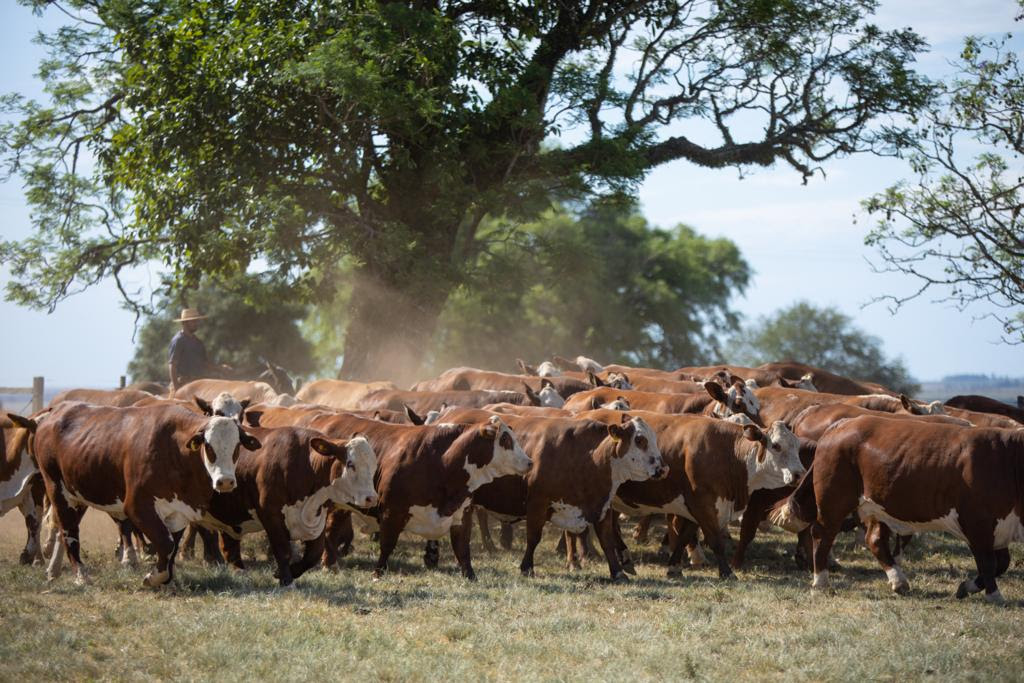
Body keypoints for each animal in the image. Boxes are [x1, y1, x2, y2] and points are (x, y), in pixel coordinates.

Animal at [34, 405, 262, 589]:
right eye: (208, 446)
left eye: (237, 446)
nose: (225, 481)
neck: (173, 449)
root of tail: (56, 412)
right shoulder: (137, 506)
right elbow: (165, 544)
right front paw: (153, 578)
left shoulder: (179, 512)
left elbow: (171, 547)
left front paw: (167, 579)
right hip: (57, 489)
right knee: (69, 531)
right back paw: (81, 576)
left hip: (79, 494)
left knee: (64, 528)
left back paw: (53, 570)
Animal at [201, 428, 378, 589]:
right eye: (350, 464)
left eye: (374, 466)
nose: (372, 498)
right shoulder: (271, 515)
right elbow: (283, 550)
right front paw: (286, 580)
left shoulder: (318, 517)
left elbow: (313, 554)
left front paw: (286, 573)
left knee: (229, 546)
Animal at [774, 417, 1024, 602]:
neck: (1007, 458)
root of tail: (842, 424)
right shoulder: (977, 522)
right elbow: (989, 563)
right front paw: (994, 595)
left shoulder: (999, 526)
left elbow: (1001, 563)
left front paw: (968, 586)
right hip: (833, 500)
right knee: (821, 535)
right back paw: (821, 581)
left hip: (877, 506)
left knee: (875, 539)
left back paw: (898, 580)